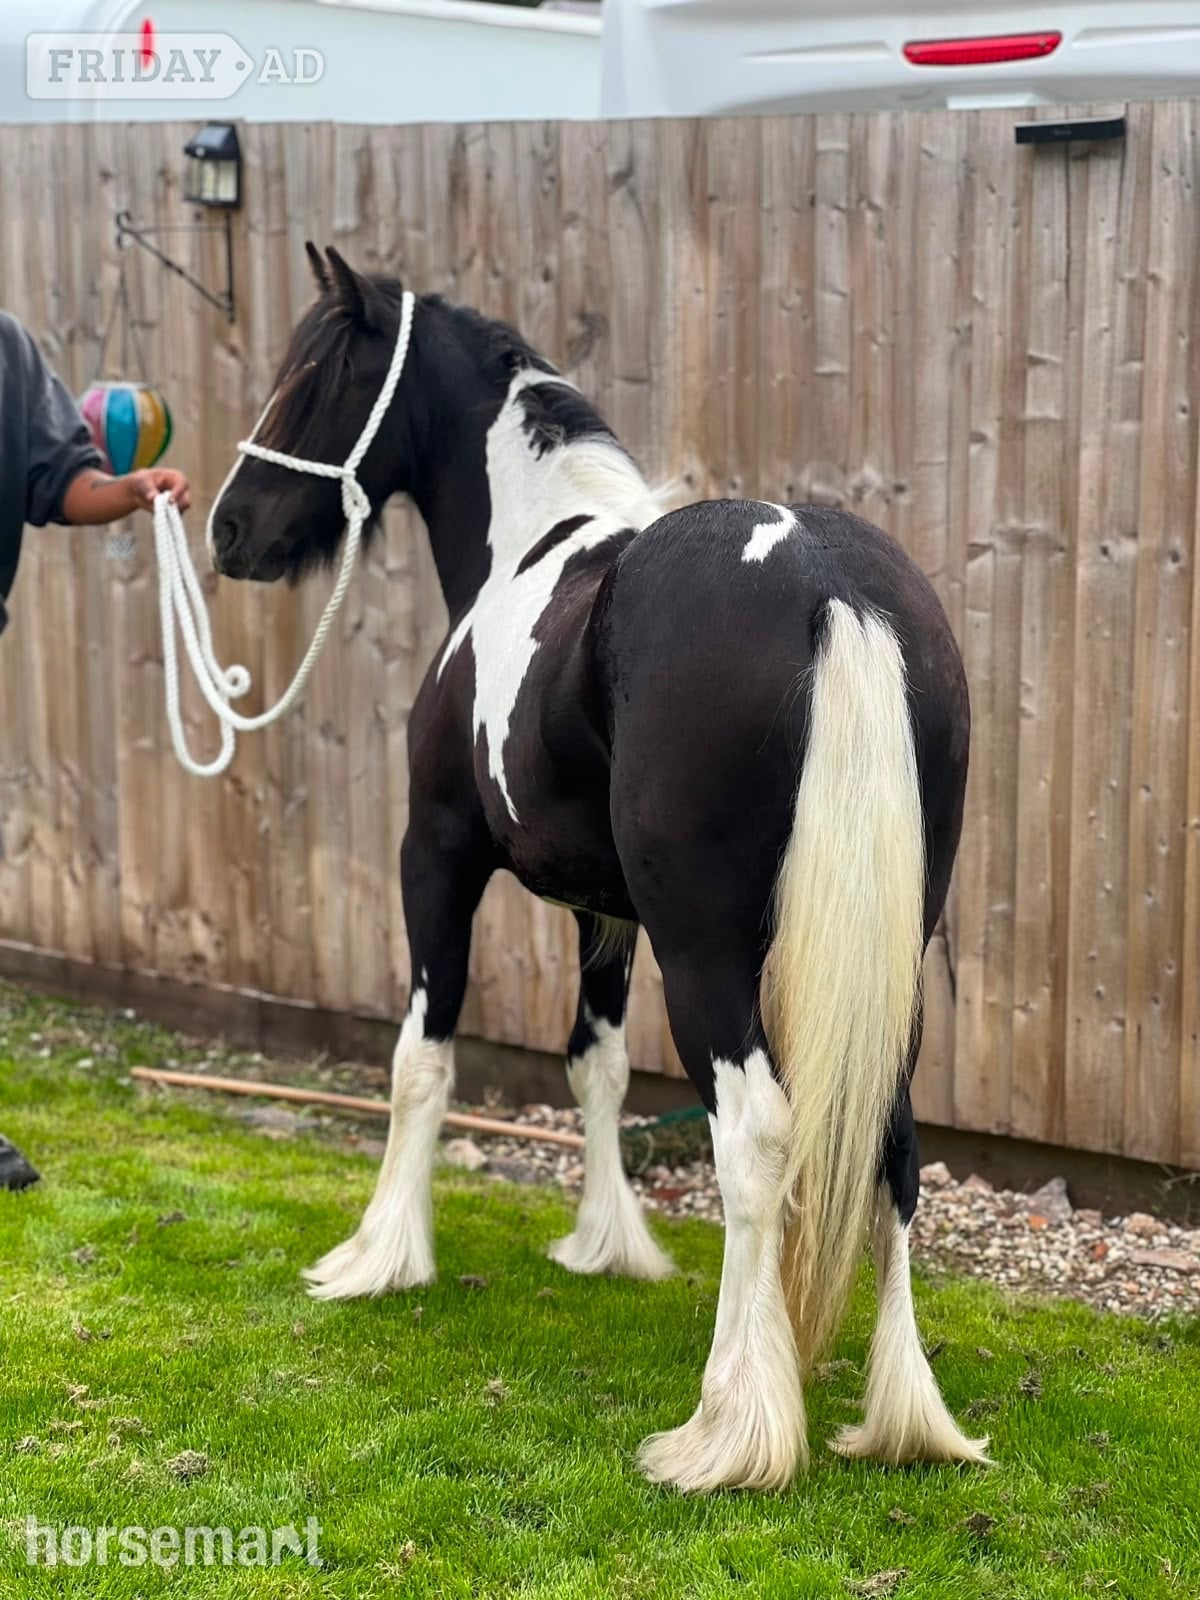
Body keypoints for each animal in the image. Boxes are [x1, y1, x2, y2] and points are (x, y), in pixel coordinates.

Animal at [206, 244, 988, 1492]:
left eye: (315, 376)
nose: (230, 529)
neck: (531, 547)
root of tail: (831, 584)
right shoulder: (602, 912)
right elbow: (596, 1065)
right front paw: (605, 1245)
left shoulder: (436, 857)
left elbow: (421, 1059)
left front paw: (379, 1254)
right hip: (895, 948)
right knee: (895, 1140)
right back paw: (903, 1416)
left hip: (707, 947)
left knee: (755, 1133)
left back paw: (729, 1425)